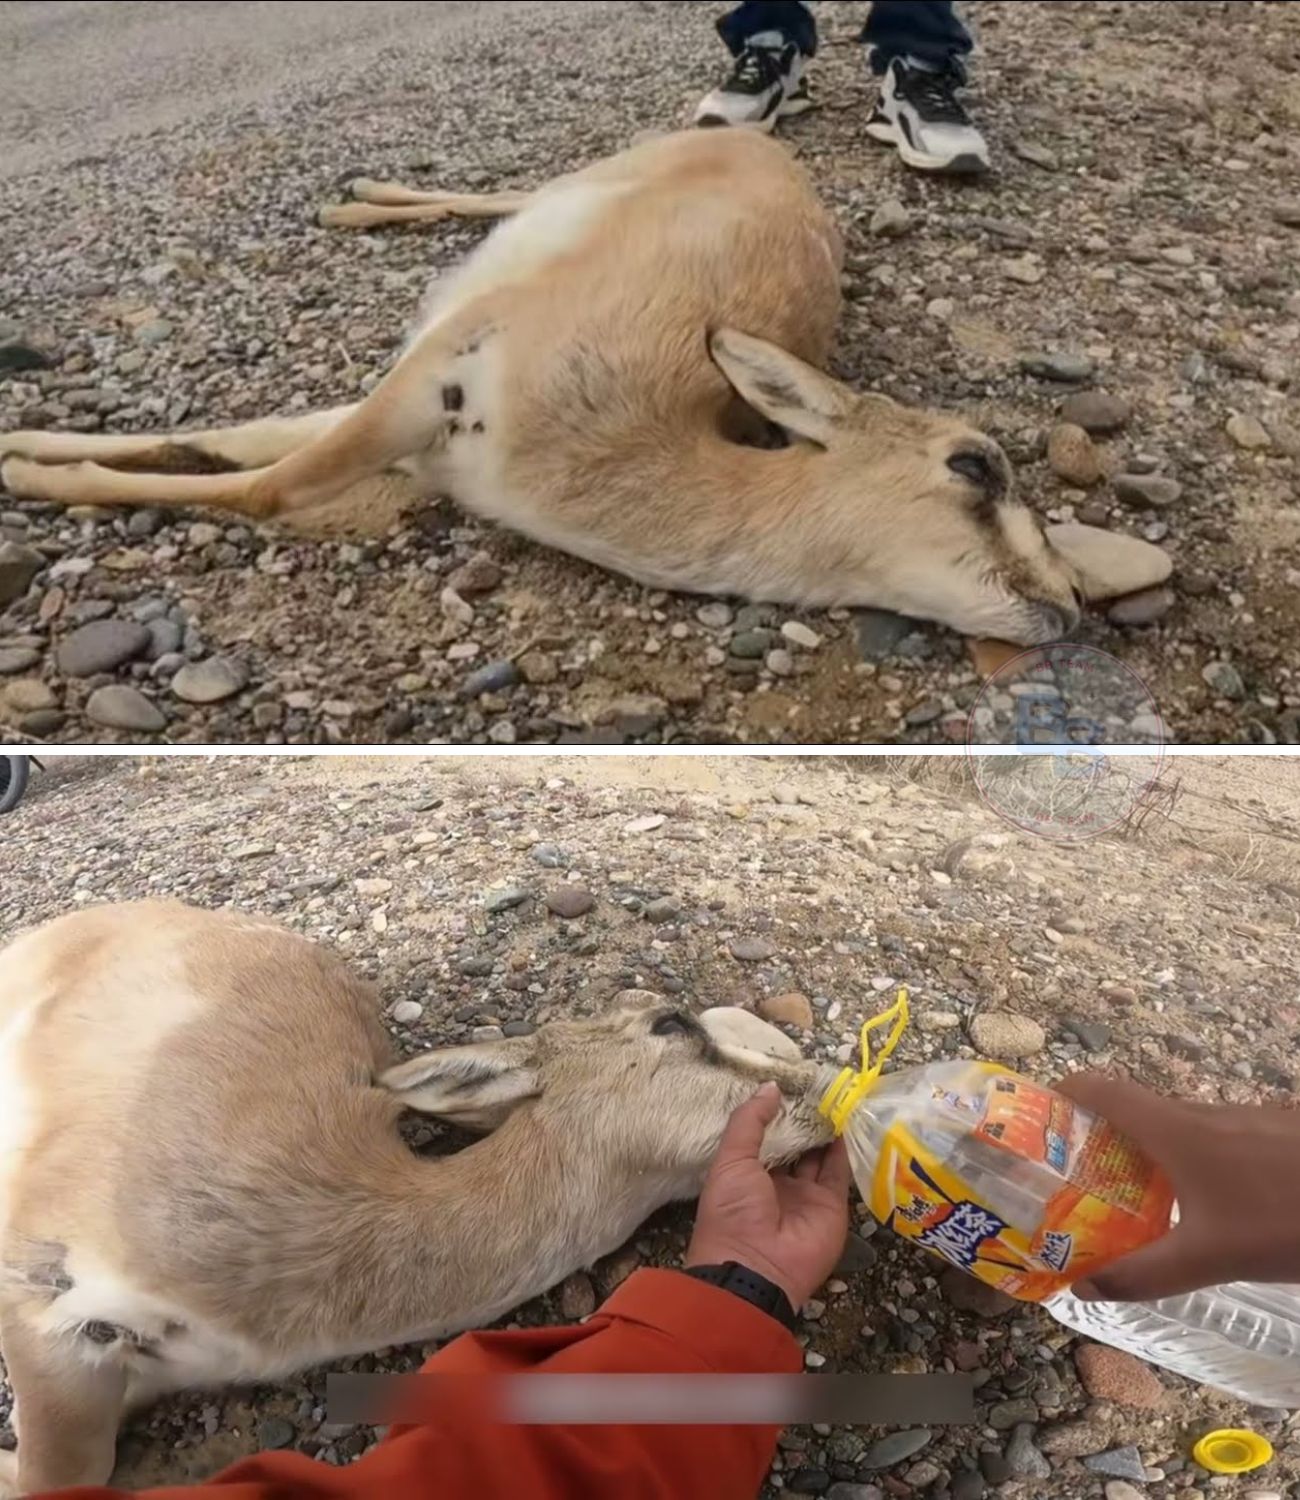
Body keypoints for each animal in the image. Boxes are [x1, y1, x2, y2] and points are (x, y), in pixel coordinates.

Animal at [0, 129, 1170, 647]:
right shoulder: (425, 383)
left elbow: (235, 448)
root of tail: (763, 142)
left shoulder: (415, 436)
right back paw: (359, 199)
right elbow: (264, 481)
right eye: (973, 463)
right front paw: (26, 465)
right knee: (497, 190)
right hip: (581, 179)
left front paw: (24, 449)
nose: (1072, 605)